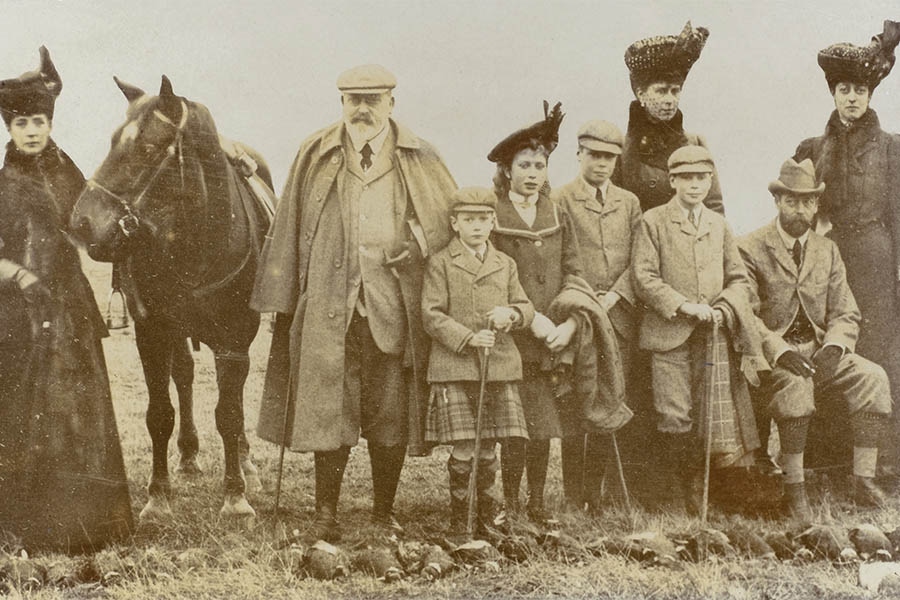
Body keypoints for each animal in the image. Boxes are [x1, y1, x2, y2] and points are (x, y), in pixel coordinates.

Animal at [70, 75, 276, 524]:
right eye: (113, 142)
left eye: (148, 149)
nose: (82, 222)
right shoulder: (153, 333)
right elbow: (160, 414)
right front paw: (158, 496)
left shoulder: (235, 340)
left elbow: (230, 413)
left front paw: (235, 497)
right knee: (183, 374)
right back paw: (188, 454)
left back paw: (246, 464)